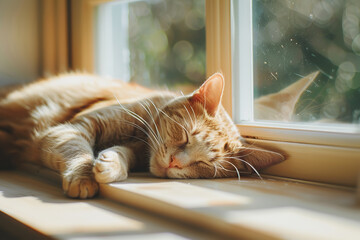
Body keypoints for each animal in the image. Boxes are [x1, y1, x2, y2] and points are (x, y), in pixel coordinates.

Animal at [0, 73, 286, 199]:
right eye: (185, 136)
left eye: (203, 165)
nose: (174, 163)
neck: (139, 135)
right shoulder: (71, 129)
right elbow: (78, 152)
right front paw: (83, 177)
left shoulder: (134, 153)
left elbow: (120, 156)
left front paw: (110, 166)